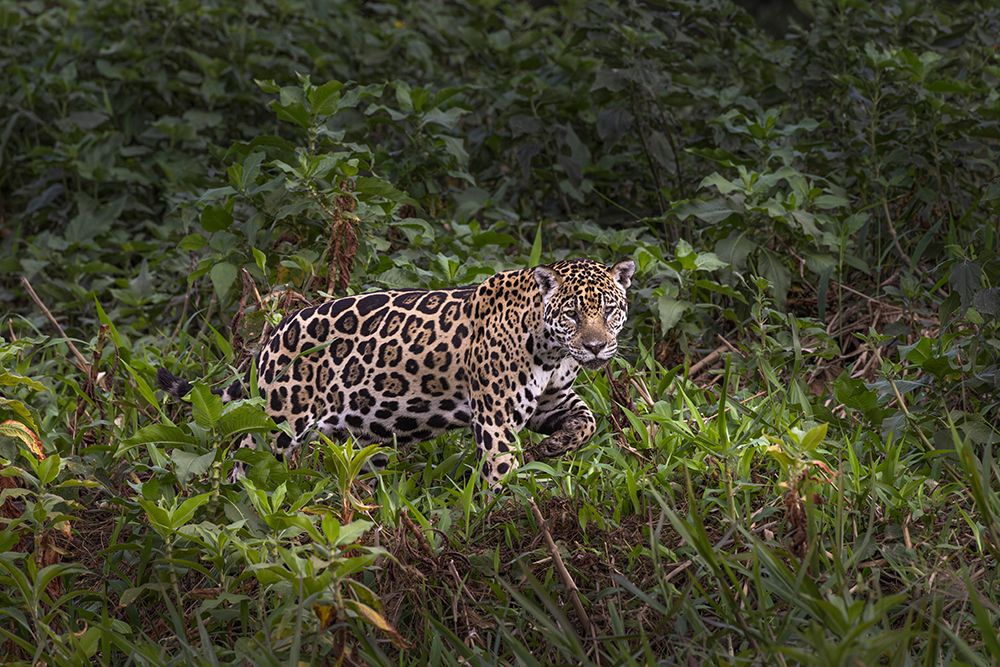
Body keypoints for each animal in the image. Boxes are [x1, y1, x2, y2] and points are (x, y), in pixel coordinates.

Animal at [157, 257, 636, 488]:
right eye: (572, 314)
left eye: (609, 310)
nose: (596, 346)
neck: (551, 349)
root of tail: (272, 336)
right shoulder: (496, 419)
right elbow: (502, 472)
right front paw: (503, 518)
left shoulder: (549, 402)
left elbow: (588, 421)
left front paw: (554, 447)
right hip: (277, 425)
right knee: (240, 460)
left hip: (362, 436)